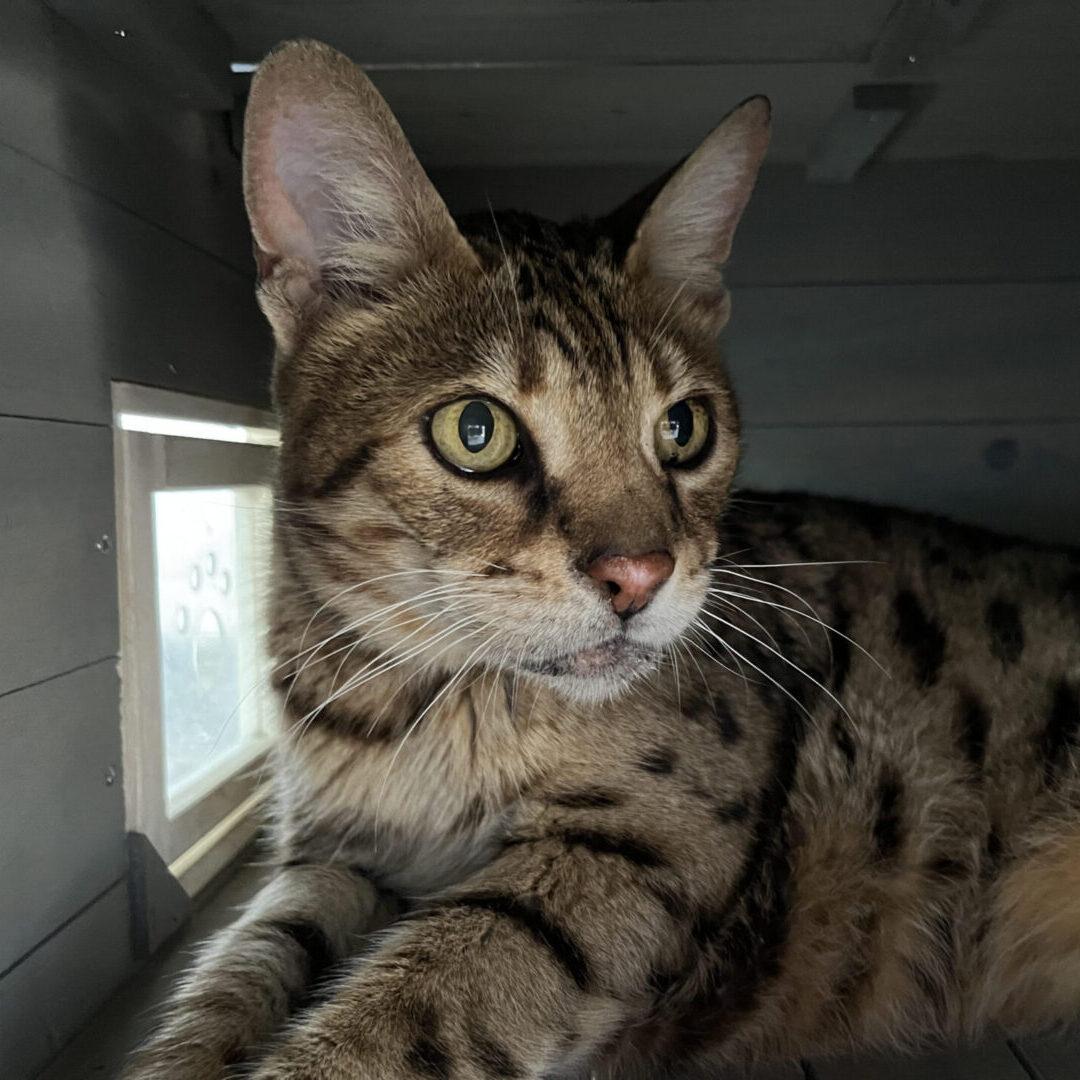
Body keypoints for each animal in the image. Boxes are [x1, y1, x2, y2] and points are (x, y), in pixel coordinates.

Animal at [122, 38, 1080, 1075]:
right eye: (475, 431)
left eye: (683, 428)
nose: (640, 577)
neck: (415, 711)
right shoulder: (330, 862)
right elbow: (231, 974)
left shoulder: (636, 845)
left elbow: (416, 1001)